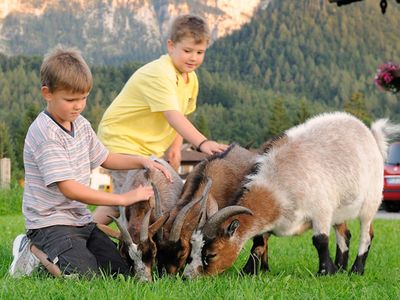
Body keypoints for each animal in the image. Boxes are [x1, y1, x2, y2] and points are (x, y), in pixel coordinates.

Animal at [183, 112, 398, 278]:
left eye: (211, 254)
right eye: (192, 250)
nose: (187, 277)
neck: (276, 185)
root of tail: (370, 135)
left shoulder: (321, 210)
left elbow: (320, 240)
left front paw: (325, 272)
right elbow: (258, 244)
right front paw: (247, 272)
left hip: (371, 201)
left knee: (366, 234)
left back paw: (356, 270)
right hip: (340, 209)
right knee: (345, 234)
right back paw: (341, 268)